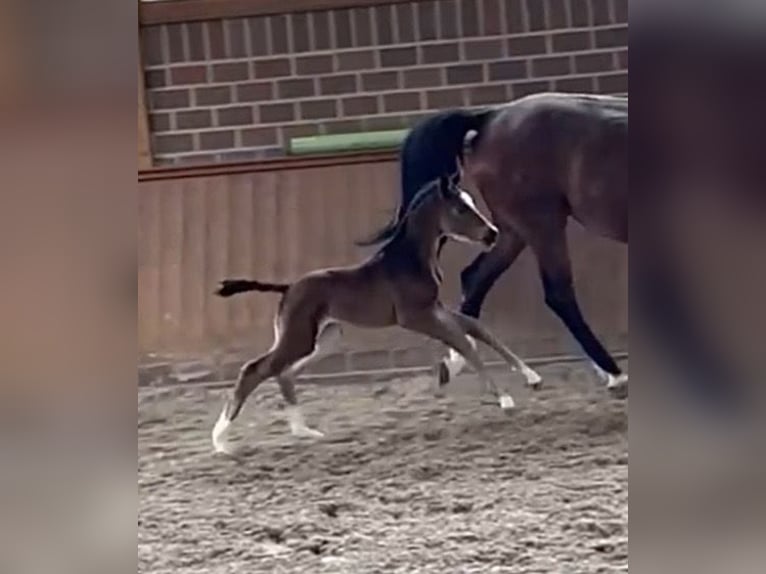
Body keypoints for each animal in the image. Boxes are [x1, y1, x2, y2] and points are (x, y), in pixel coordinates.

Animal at [210, 176, 541, 455]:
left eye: (471, 201)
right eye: (460, 208)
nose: (492, 234)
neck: (410, 260)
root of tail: (288, 287)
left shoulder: (434, 308)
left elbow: (476, 329)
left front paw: (532, 377)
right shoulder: (415, 317)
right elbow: (464, 342)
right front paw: (505, 399)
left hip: (325, 339)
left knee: (284, 372)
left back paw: (304, 431)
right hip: (299, 337)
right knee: (255, 370)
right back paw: (221, 441)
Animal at [360, 93, 628, 393]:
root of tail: (491, 117)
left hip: (511, 231)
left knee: (475, 278)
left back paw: (457, 362)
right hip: (542, 223)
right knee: (558, 293)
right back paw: (614, 374)